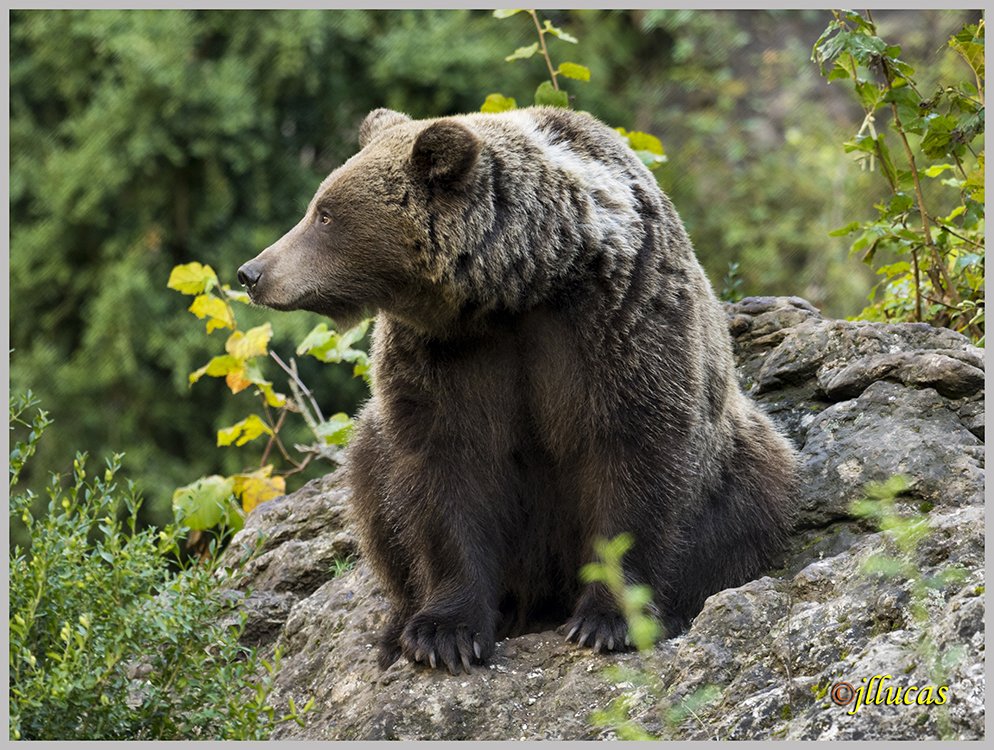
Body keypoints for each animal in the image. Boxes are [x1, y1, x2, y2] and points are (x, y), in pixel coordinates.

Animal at [237, 106, 798, 675]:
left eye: (325, 215)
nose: (252, 272)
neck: (520, 289)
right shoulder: (446, 359)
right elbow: (446, 474)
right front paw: (443, 634)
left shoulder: (622, 323)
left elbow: (635, 457)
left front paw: (606, 622)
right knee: (373, 476)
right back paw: (396, 629)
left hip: (739, 453)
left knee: (751, 496)